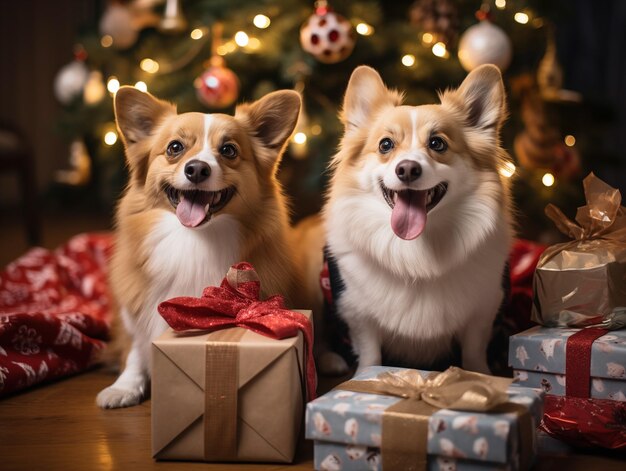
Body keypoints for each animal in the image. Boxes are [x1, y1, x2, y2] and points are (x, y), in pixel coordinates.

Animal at [96, 86, 302, 408]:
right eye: (174, 148)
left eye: (229, 150)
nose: (196, 169)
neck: (194, 241)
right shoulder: (136, 313)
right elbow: (136, 349)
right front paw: (124, 386)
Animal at [322, 66, 512, 376]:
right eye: (385, 145)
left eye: (437, 143)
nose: (407, 169)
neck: (415, 250)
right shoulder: (356, 312)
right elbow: (370, 353)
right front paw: (363, 376)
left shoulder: (483, 308)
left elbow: (474, 352)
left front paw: (481, 375)